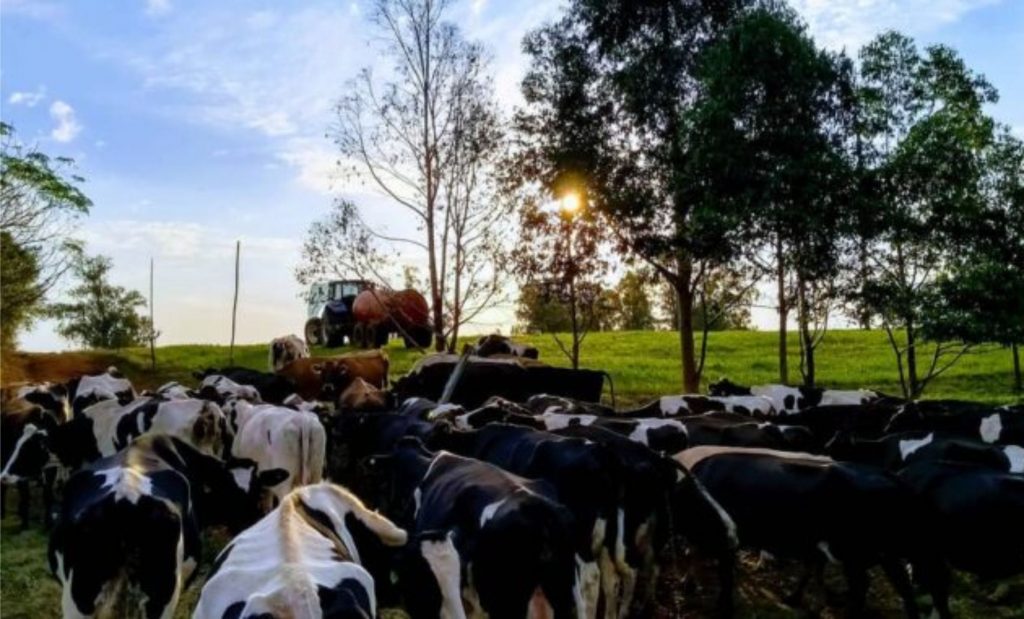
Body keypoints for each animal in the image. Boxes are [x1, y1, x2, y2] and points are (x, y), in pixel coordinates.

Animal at [48, 432, 276, 619]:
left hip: (80, 598)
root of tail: (124, 496)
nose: (253, 519)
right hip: (160, 596)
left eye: (256, 486)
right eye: (230, 488)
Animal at [675, 446, 946, 614]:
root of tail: (895, 479)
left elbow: (723, 575)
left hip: (859, 553)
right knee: (907, 590)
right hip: (885, 554)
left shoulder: (724, 542)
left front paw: (718, 603)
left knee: (865, 587)